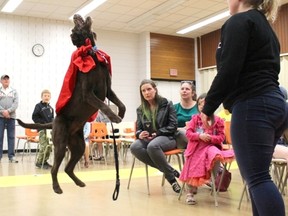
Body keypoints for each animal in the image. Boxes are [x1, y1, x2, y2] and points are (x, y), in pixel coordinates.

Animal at [16, 14, 125, 194]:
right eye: (75, 27)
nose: (76, 15)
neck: (90, 53)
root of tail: (53, 123)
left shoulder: (108, 90)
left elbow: (121, 104)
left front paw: (120, 114)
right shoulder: (88, 94)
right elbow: (103, 105)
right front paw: (114, 117)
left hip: (79, 146)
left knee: (68, 168)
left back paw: (79, 182)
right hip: (60, 145)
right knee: (55, 169)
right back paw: (56, 188)